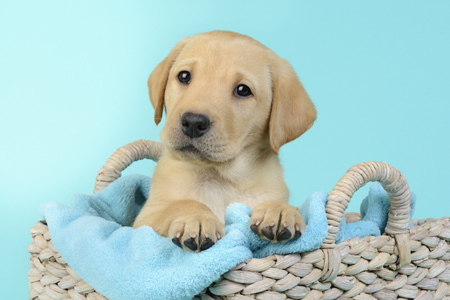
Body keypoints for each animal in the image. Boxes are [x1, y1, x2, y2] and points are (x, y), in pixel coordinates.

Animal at [133, 30, 316, 252]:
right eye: (184, 76)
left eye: (243, 90)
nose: (193, 122)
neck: (221, 178)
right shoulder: (142, 223)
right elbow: (180, 204)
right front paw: (197, 218)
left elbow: (279, 203)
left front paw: (280, 209)